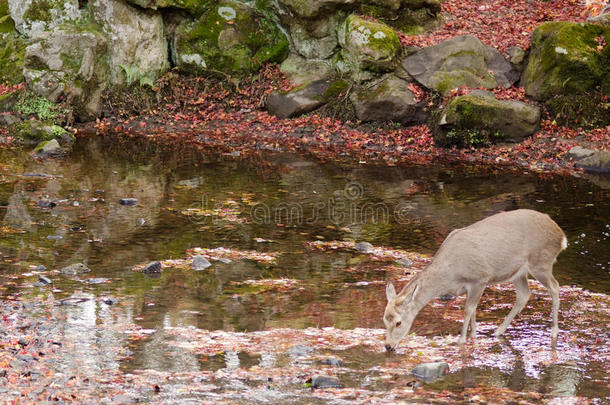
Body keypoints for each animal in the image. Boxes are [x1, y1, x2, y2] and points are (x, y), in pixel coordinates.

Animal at [384, 208, 564, 350]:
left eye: (399, 322)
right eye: (385, 320)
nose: (388, 346)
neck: (450, 274)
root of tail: (561, 236)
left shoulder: (479, 278)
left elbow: (468, 310)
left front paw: (462, 339)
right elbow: (474, 310)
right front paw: (473, 335)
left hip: (541, 262)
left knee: (555, 287)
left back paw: (554, 331)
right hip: (518, 273)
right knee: (524, 294)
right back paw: (499, 331)